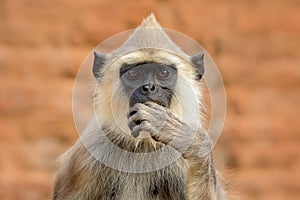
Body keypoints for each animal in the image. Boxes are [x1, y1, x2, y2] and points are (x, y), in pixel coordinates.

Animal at [52, 14, 225, 200]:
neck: (144, 144)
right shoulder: (87, 156)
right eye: (134, 74)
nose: (148, 87)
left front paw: (189, 139)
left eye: (163, 73)